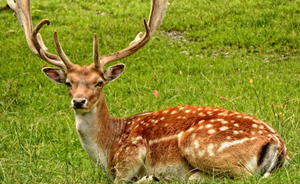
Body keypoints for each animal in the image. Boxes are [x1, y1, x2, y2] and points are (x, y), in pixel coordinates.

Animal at [7, 0, 288, 182]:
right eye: (68, 82)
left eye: (99, 82)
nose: (79, 101)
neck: (108, 147)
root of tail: (278, 143)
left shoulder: (131, 154)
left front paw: (149, 177)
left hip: (199, 144)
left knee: (244, 177)